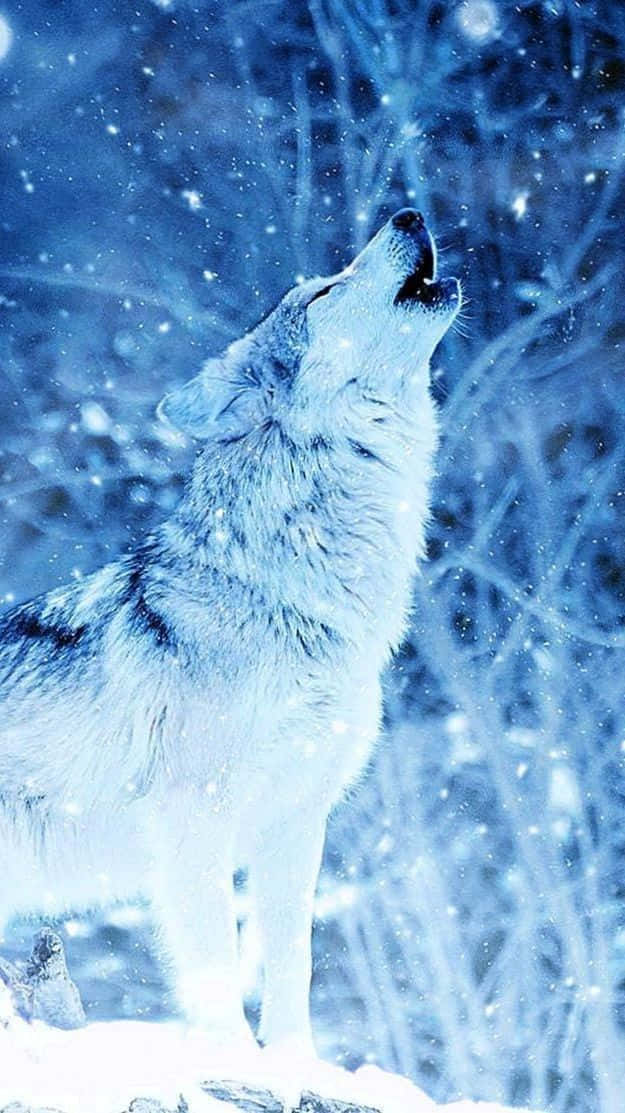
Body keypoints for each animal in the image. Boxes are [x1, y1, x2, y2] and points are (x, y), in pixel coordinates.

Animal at [0, 209, 460, 1053]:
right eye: (323, 291)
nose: (408, 214)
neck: (293, 596)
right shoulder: (194, 820)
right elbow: (214, 964)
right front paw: (230, 1060)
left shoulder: (296, 821)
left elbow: (291, 963)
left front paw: (293, 1063)